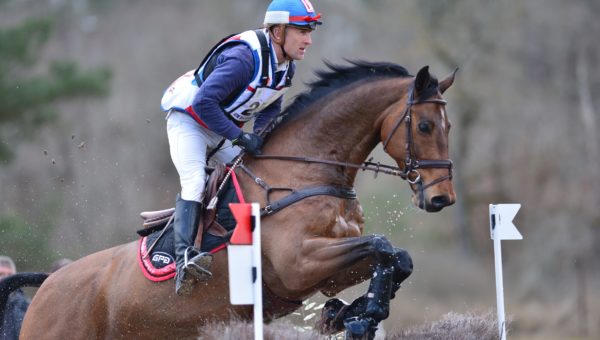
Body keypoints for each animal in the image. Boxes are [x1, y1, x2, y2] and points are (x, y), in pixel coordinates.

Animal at [17, 61, 454, 340]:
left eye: (448, 125)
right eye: (425, 126)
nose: (442, 198)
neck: (305, 173)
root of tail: (47, 285)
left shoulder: (326, 271)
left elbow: (396, 257)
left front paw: (348, 313)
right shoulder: (301, 264)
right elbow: (383, 246)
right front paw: (359, 317)